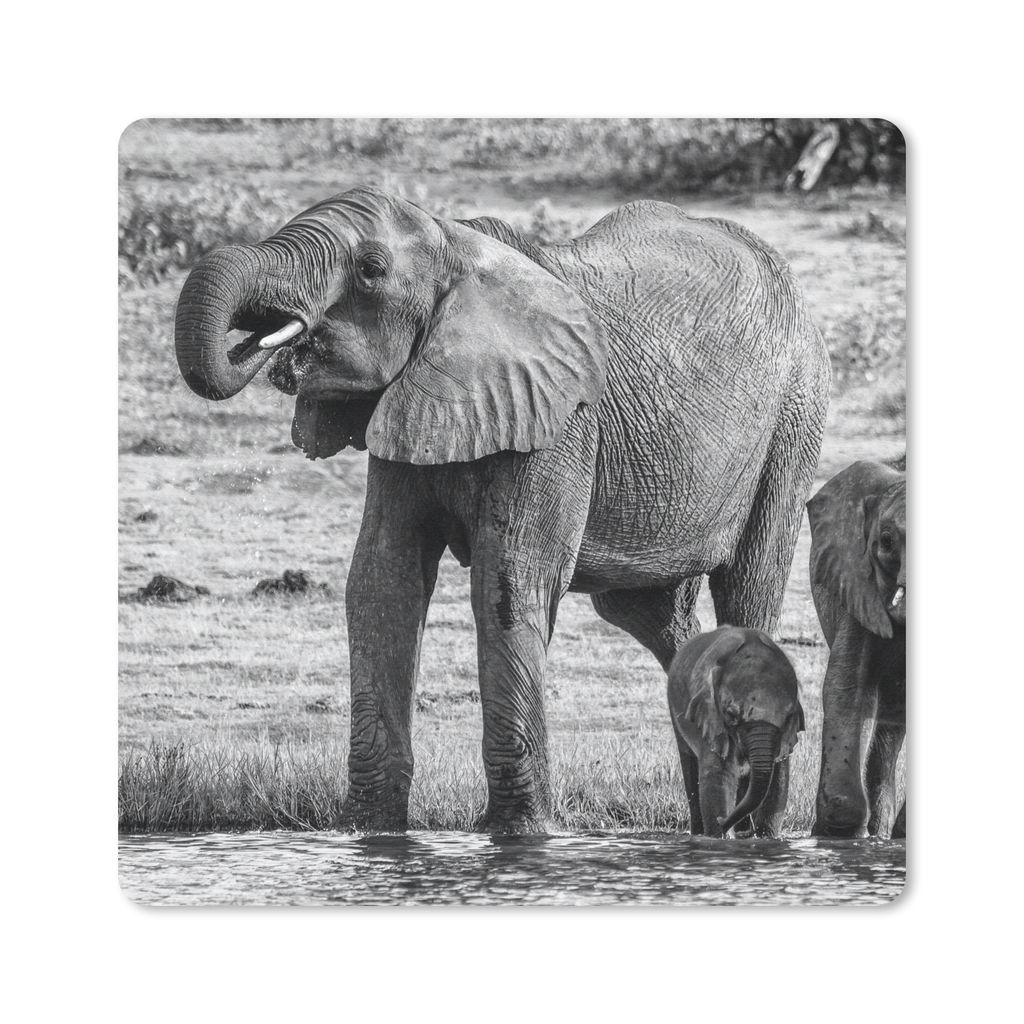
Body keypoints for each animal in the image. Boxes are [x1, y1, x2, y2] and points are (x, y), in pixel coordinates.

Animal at [667, 626, 804, 838]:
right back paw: (700, 832)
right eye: (731, 714)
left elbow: (779, 779)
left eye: (788, 716)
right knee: (689, 763)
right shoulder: (712, 719)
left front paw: (767, 837)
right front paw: (721, 836)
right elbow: (719, 775)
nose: (722, 820)